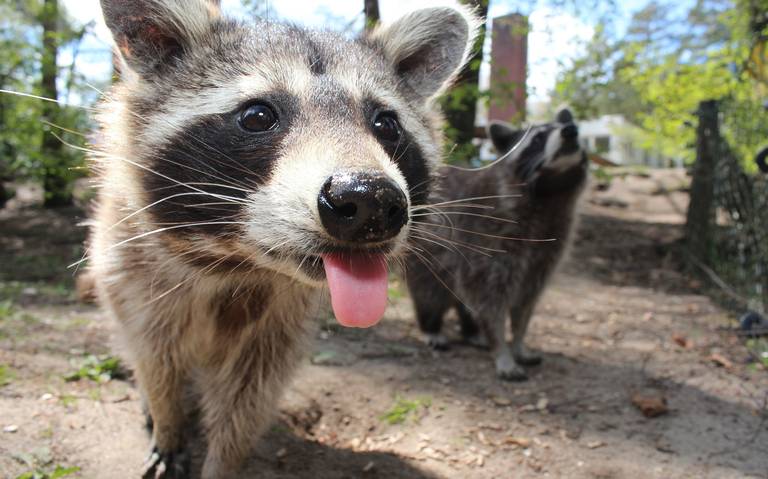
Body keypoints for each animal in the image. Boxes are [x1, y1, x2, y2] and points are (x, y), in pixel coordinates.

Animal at [87, 1, 476, 478]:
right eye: (258, 116)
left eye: (386, 124)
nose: (370, 200)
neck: (239, 261)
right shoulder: (134, 270)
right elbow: (156, 358)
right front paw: (167, 422)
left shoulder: (282, 322)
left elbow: (250, 395)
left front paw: (224, 460)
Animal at [408, 109, 588, 382]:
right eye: (538, 139)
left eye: (572, 126)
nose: (571, 131)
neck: (550, 194)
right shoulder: (487, 237)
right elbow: (490, 301)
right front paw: (502, 349)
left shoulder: (547, 251)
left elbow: (526, 302)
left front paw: (519, 342)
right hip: (427, 256)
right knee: (429, 293)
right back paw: (432, 327)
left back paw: (471, 331)